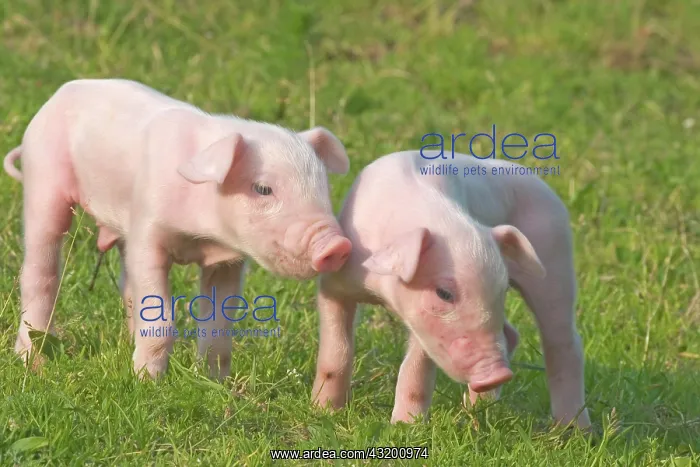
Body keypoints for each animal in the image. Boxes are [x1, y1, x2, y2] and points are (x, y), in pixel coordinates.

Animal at [3, 78, 352, 380]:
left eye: (323, 187)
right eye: (263, 189)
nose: (337, 245)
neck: (202, 236)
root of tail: (59, 94)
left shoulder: (226, 261)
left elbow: (218, 326)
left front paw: (214, 382)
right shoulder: (148, 228)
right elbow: (162, 316)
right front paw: (147, 382)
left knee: (128, 287)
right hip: (43, 181)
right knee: (40, 269)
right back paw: (31, 361)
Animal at [311, 150, 591, 430]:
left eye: (502, 291)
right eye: (444, 293)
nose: (498, 374)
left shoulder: (425, 328)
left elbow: (417, 367)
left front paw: (406, 427)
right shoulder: (336, 284)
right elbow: (337, 351)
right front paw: (324, 411)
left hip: (555, 259)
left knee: (564, 343)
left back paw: (574, 430)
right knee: (513, 335)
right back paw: (474, 408)